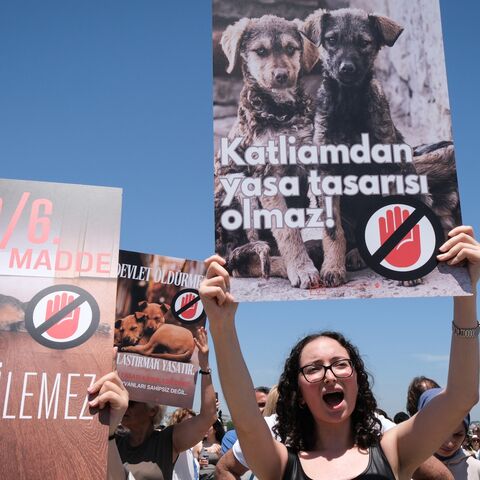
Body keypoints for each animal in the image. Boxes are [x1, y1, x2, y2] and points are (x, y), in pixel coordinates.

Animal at [217, 14, 322, 288]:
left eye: (290, 49)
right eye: (261, 51)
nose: (282, 75)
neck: (280, 111)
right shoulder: (265, 174)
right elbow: (287, 231)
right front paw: (302, 270)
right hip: (239, 188)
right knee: (242, 263)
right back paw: (286, 265)